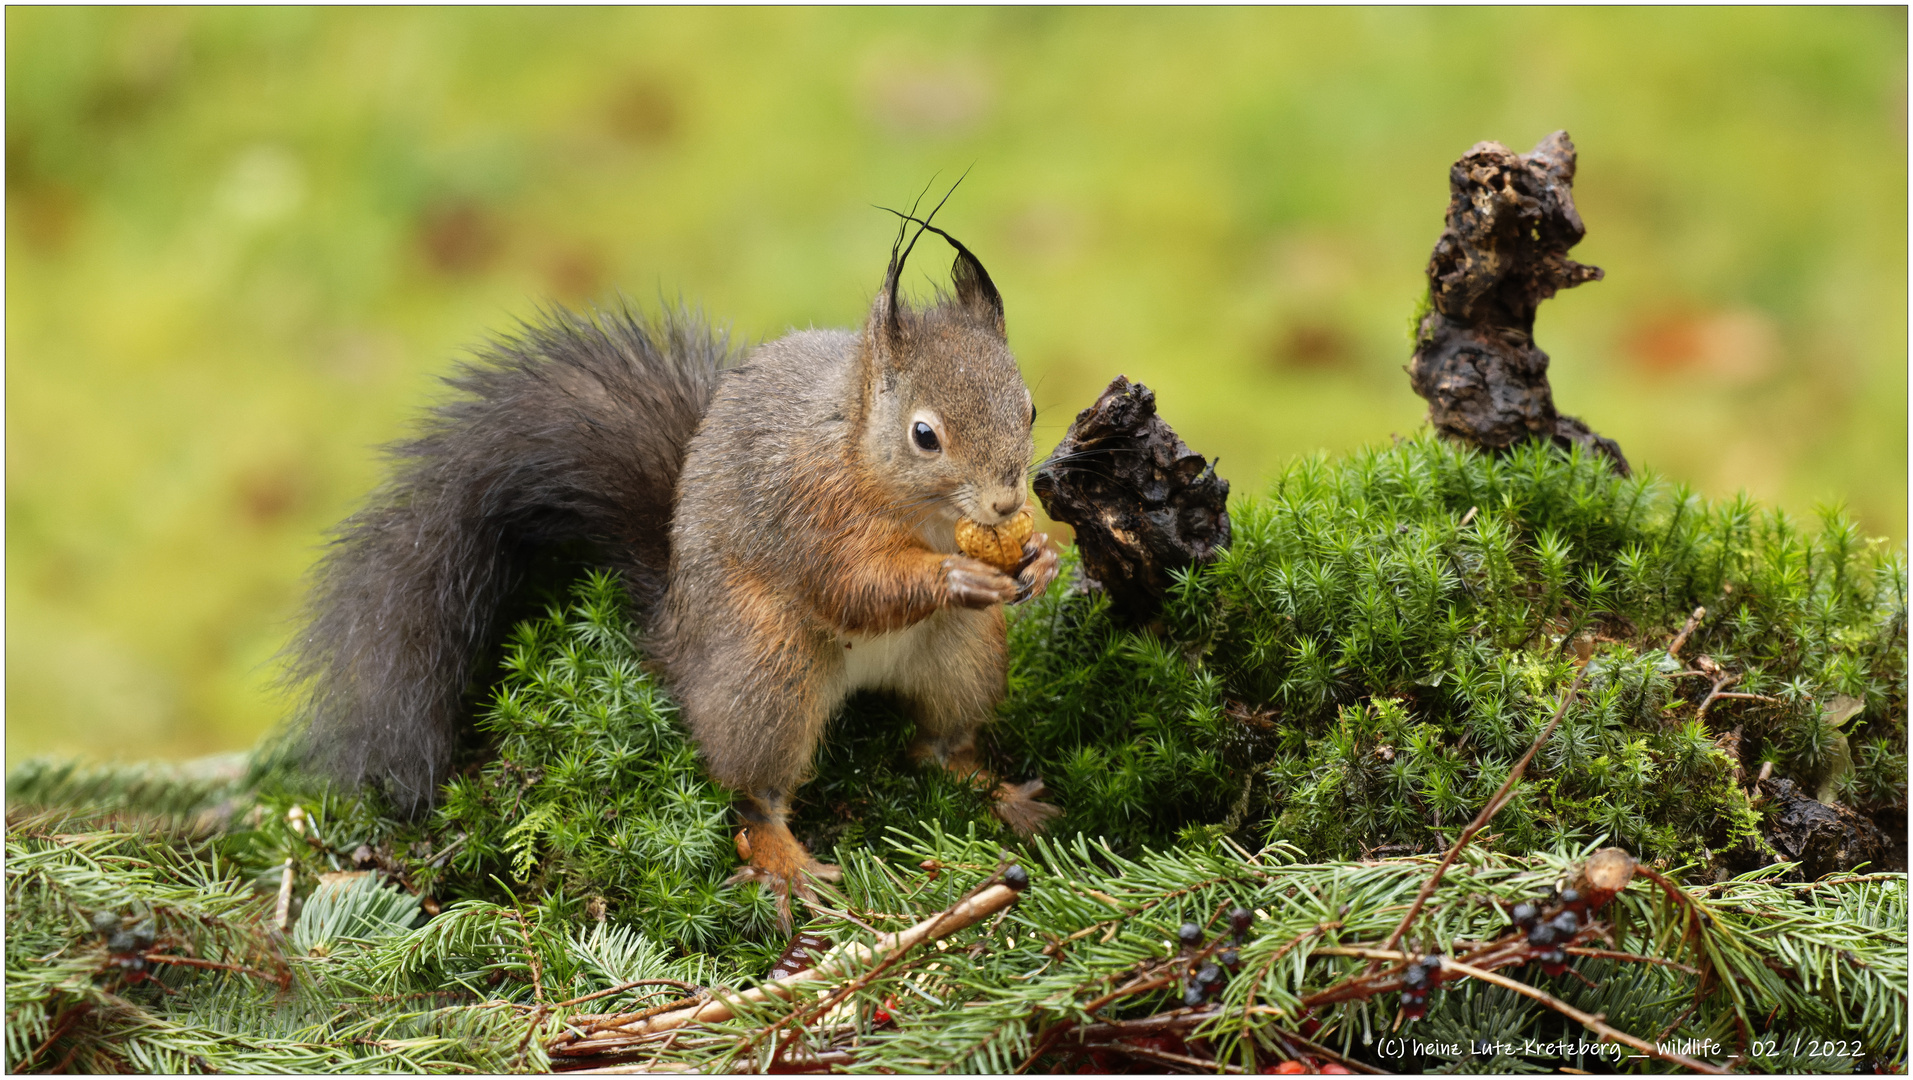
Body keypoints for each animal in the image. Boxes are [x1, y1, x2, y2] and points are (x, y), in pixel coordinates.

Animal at [283, 213, 1063, 917]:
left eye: (1028, 409)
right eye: (924, 435)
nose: (1004, 503)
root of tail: (676, 643)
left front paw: (1042, 557)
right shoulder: (808, 511)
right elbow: (851, 585)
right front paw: (953, 576)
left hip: (962, 657)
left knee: (938, 746)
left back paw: (1004, 795)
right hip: (767, 674)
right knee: (753, 791)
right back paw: (785, 864)